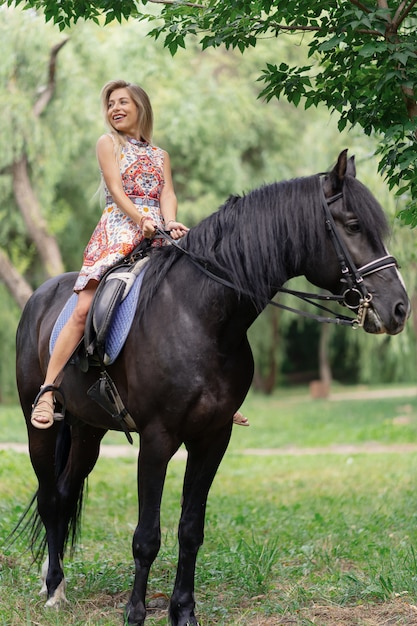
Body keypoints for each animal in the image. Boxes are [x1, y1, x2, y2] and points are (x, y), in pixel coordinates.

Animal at [15, 149, 406, 620]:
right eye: (352, 225)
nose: (400, 308)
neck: (200, 317)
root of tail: (40, 297)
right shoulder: (158, 439)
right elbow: (147, 536)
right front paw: (136, 612)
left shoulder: (213, 438)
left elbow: (190, 529)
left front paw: (182, 611)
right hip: (41, 426)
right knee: (51, 498)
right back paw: (53, 587)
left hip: (87, 430)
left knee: (65, 491)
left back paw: (56, 583)